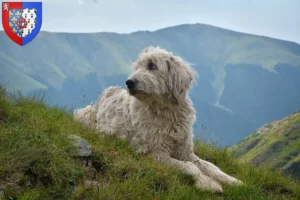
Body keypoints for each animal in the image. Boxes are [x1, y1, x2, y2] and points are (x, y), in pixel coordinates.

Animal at [74, 46, 241, 191]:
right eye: (137, 67)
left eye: (152, 66)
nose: (129, 82)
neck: (167, 114)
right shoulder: (155, 153)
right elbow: (190, 166)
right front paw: (207, 183)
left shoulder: (186, 151)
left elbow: (210, 166)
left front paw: (232, 180)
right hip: (85, 114)